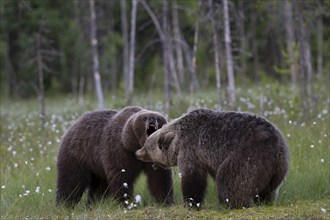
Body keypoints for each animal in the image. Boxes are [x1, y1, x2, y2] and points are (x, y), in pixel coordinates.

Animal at [135, 108, 290, 210]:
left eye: (147, 146)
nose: (137, 153)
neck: (177, 139)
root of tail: (276, 145)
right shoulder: (207, 159)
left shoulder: (191, 149)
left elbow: (192, 178)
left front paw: (191, 203)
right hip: (278, 167)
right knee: (268, 189)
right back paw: (264, 201)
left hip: (250, 155)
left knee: (230, 179)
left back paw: (232, 203)